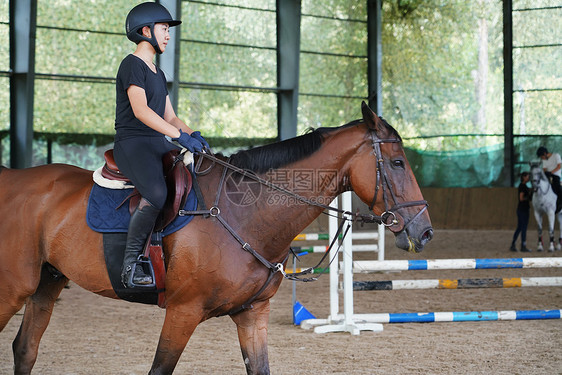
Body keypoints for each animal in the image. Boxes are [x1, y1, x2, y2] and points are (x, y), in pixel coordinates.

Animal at [0, 101, 434, 374]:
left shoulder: (252, 315)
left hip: (46, 284)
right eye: (397, 162)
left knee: (24, 350)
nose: (424, 231)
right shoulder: (182, 312)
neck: (244, 213)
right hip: (13, 289)